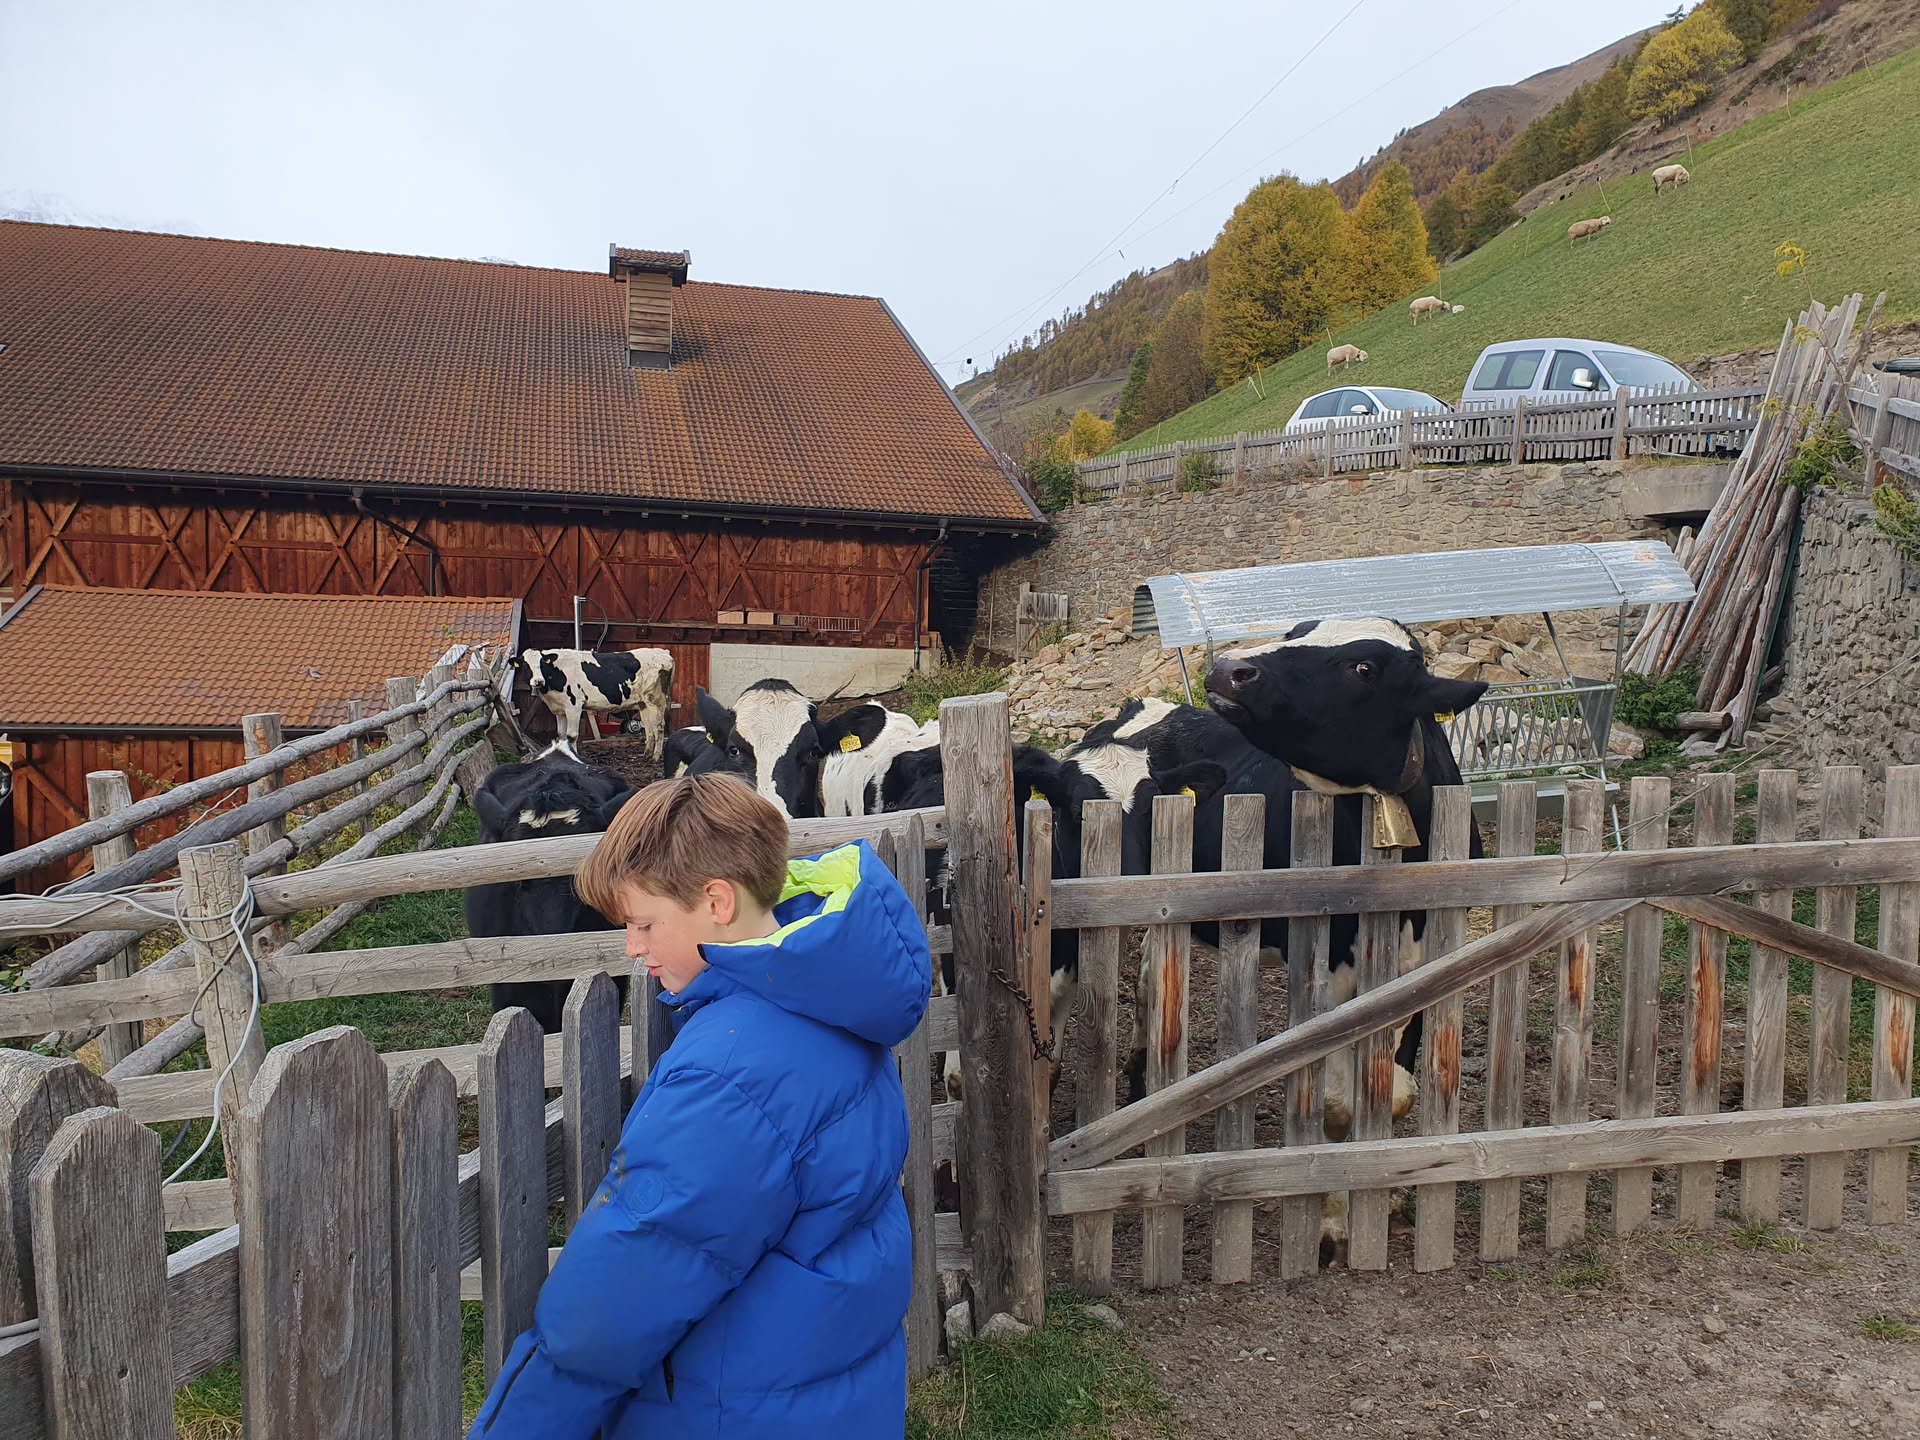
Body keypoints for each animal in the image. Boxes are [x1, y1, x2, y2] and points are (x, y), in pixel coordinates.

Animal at [521, 646, 675, 760]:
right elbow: (561, 735)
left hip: (656, 700)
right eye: (526, 665)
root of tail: (663, 652)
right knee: (649, 727)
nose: (538, 681)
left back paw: (656, 756)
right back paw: (646, 754)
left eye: (541, 663)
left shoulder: (574, 706)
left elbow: (571, 736)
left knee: (659, 726)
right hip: (643, 703)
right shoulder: (559, 709)